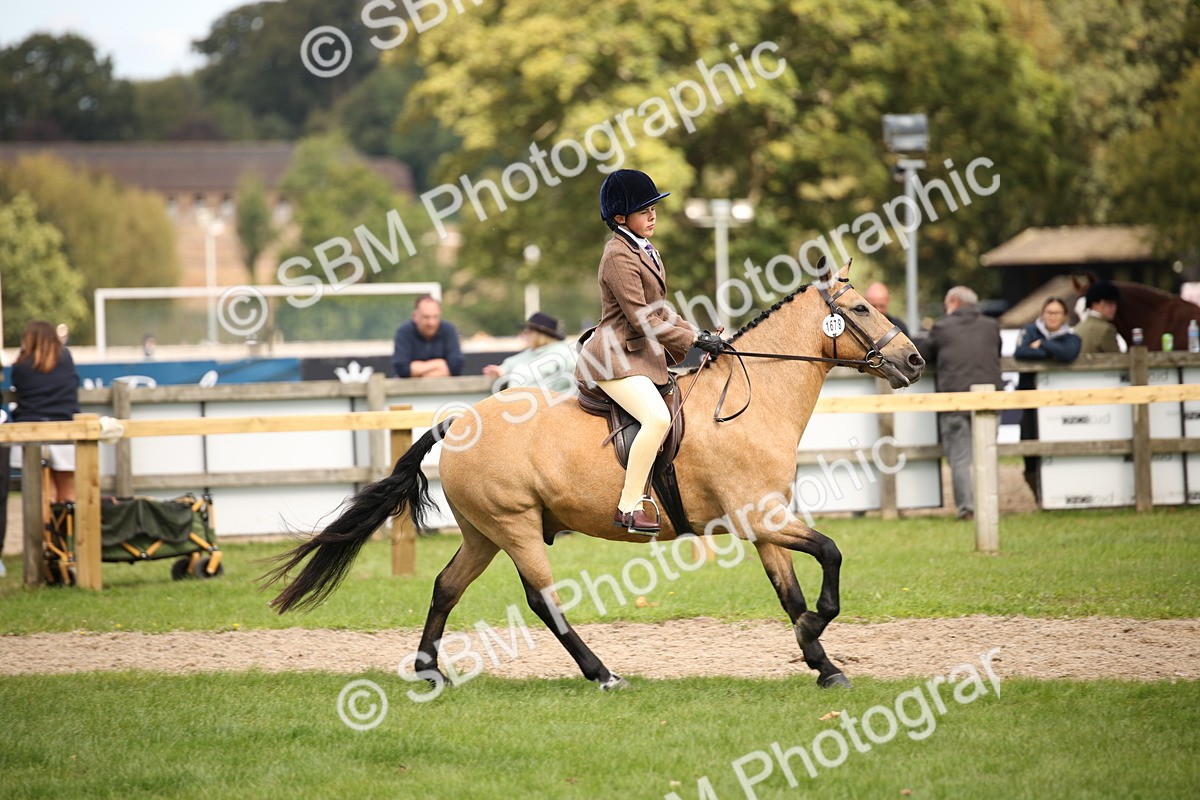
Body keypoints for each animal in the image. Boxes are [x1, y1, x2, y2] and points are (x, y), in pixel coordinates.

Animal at [261, 261, 926, 690]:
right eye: (860, 308)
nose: (915, 360)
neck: (748, 402)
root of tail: (459, 422)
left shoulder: (767, 523)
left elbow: (791, 592)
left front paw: (824, 665)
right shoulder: (758, 518)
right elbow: (831, 553)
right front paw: (818, 636)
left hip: (483, 533)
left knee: (447, 587)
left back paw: (431, 671)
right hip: (516, 527)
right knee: (543, 601)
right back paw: (602, 674)